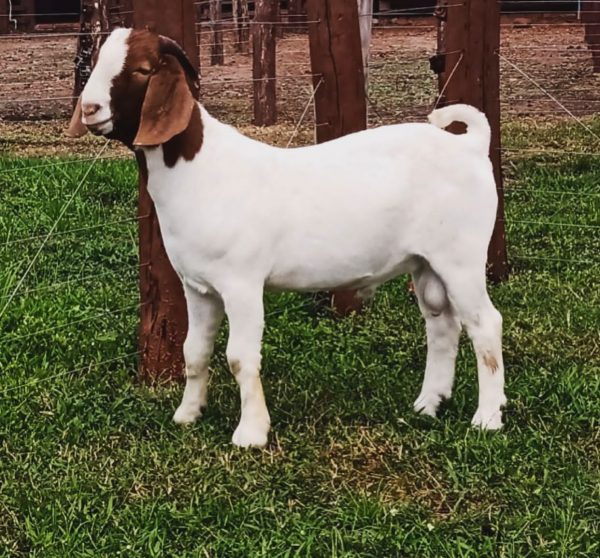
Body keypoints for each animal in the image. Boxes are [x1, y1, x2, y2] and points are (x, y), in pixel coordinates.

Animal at [70, 28, 508, 450]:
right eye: (97, 59)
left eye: (142, 69)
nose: (90, 109)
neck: (201, 170)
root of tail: (469, 145)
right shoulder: (198, 286)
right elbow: (193, 351)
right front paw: (187, 415)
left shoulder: (242, 282)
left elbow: (240, 357)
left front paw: (251, 433)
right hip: (426, 261)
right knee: (442, 324)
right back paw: (429, 404)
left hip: (461, 255)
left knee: (485, 324)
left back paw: (487, 418)